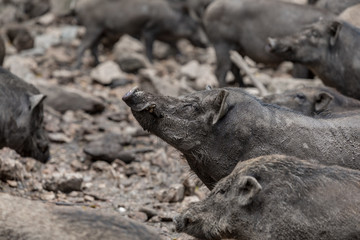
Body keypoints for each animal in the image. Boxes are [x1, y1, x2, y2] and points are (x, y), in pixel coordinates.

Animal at [74, 0, 207, 68]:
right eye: (195, 24)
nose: (205, 44)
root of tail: (78, 9)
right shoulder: (149, 31)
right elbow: (149, 49)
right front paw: (152, 64)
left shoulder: (161, 35)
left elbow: (174, 44)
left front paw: (182, 56)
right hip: (93, 28)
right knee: (82, 46)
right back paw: (77, 67)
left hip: (101, 32)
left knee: (93, 47)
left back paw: (99, 63)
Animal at [202, 0, 334, 87]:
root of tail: (209, 9)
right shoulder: (299, 63)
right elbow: (299, 78)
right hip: (222, 43)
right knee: (221, 71)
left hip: (238, 49)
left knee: (235, 68)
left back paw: (244, 87)